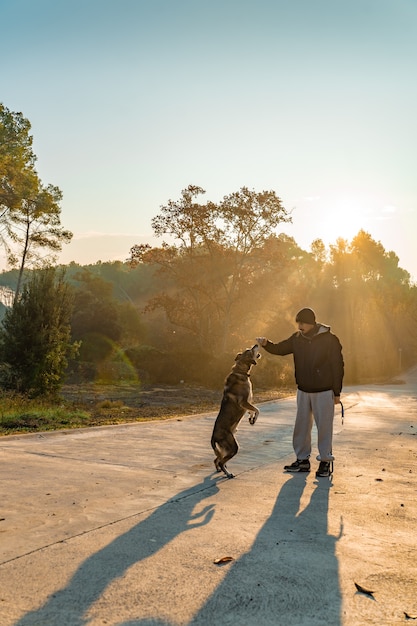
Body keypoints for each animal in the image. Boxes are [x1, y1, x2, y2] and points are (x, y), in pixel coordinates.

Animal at [211, 342, 260, 478]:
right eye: (250, 350)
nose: (256, 344)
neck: (241, 371)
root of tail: (213, 437)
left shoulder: (247, 402)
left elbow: (252, 409)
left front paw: (251, 418)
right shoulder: (244, 402)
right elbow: (257, 409)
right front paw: (254, 418)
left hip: (225, 449)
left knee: (217, 459)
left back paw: (220, 470)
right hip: (232, 447)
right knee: (221, 461)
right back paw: (228, 473)